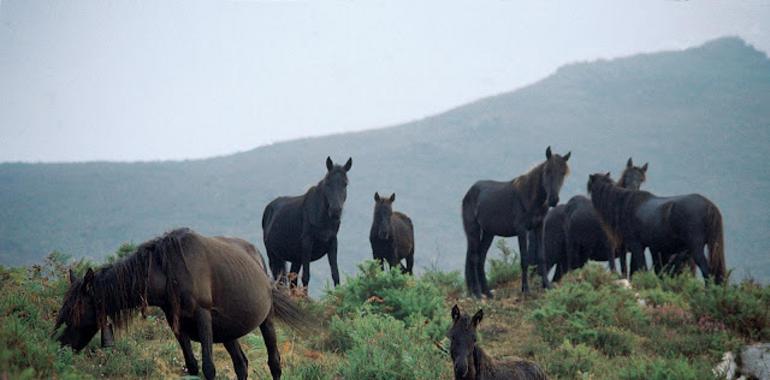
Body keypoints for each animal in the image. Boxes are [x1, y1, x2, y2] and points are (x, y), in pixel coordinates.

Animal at [55, 229, 316, 380]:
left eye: (75, 310)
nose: (60, 346)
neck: (167, 270)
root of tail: (257, 257)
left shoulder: (202, 317)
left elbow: (209, 367)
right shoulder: (177, 323)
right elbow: (192, 366)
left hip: (266, 321)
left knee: (274, 363)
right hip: (227, 331)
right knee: (241, 364)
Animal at [260, 156, 352, 290]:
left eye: (345, 183)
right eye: (328, 183)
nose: (335, 211)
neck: (321, 218)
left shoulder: (332, 243)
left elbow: (335, 275)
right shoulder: (307, 244)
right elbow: (306, 277)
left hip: (295, 258)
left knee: (291, 281)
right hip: (273, 255)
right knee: (279, 280)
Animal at [460, 145, 568, 296]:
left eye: (563, 173)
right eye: (547, 171)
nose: (553, 200)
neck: (529, 197)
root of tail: (470, 192)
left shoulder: (539, 227)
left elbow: (541, 256)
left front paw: (547, 286)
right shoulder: (521, 231)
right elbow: (524, 259)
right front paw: (526, 290)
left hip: (488, 233)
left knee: (481, 258)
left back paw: (488, 293)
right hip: (473, 230)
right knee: (474, 258)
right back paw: (477, 294)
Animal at [584, 172, 724, 282]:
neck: (624, 203)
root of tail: (710, 206)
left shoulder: (636, 245)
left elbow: (642, 269)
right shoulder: (652, 248)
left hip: (696, 248)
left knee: (707, 272)